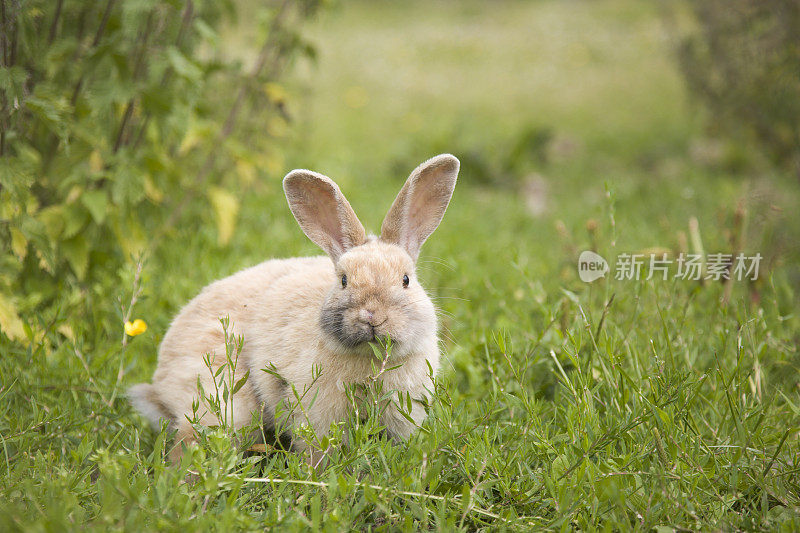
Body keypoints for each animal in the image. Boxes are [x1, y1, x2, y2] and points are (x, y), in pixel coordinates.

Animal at [129, 153, 460, 462]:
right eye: (343, 280)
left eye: (406, 280)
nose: (372, 316)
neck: (372, 359)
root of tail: (161, 382)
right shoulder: (317, 415)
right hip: (226, 402)